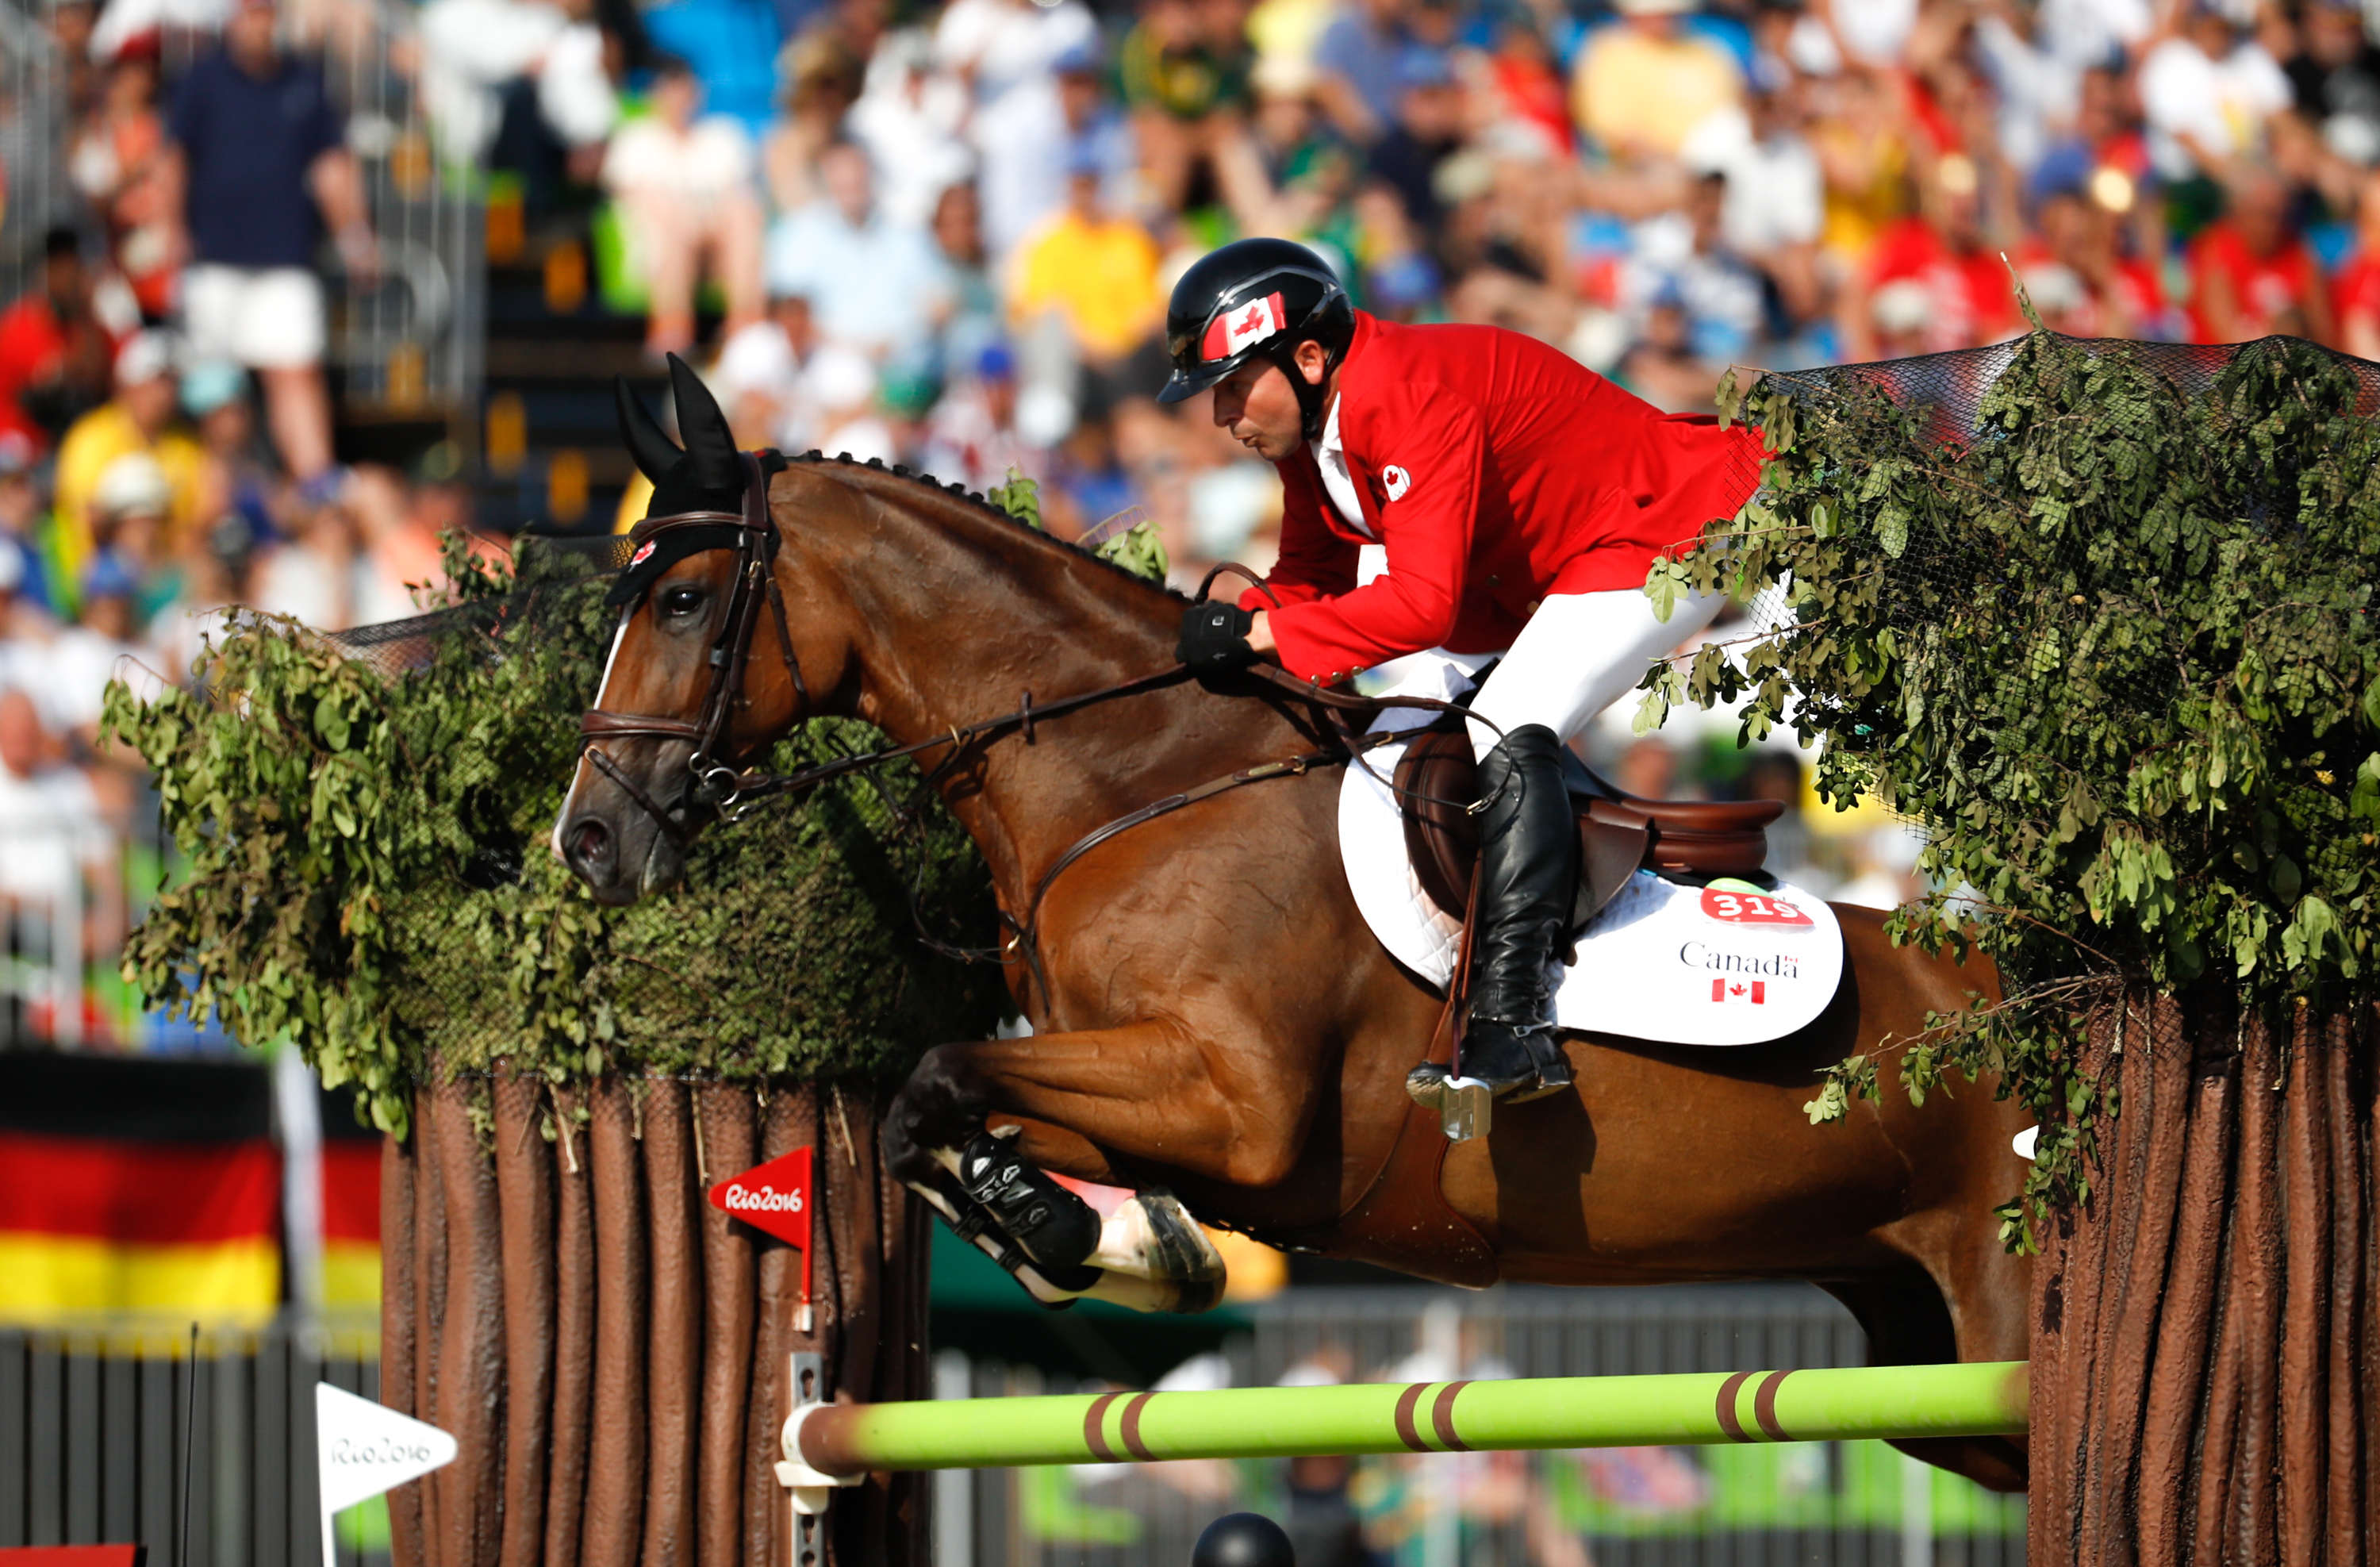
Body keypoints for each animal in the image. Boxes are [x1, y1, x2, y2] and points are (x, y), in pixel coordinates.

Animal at [552, 371, 2028, 1485]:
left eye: (681, 600)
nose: (589, 839)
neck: (1138, 775)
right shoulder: (1151, 1093)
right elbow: (948, 1114)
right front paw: (1102, 1237)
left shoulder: (1242, 1105)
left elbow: (934, 1077)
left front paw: (1084, 1236)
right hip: (1926, 1353)